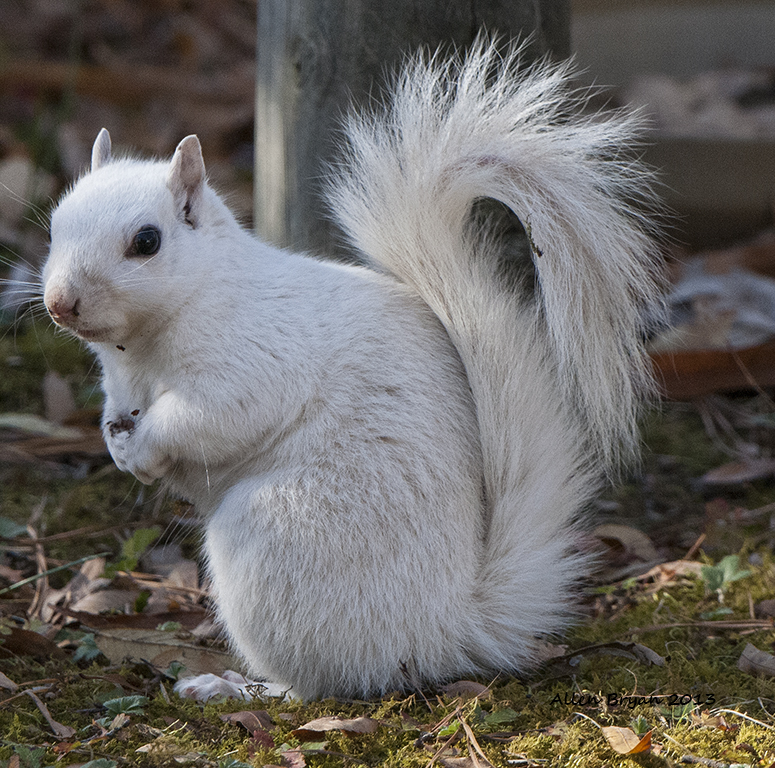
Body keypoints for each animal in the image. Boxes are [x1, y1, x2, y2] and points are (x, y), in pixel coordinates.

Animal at [41, 42, 660, 704]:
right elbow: (119, 410)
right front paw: (115, 442)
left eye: (147, 242)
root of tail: (445, 630)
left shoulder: (254, 358)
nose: (59, 304)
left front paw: (148, 446)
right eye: (55, 223)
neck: (144, 346)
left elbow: (212, 416)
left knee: (323, 682)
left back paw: (237, 688)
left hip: (273, 544)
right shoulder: (121, 381)